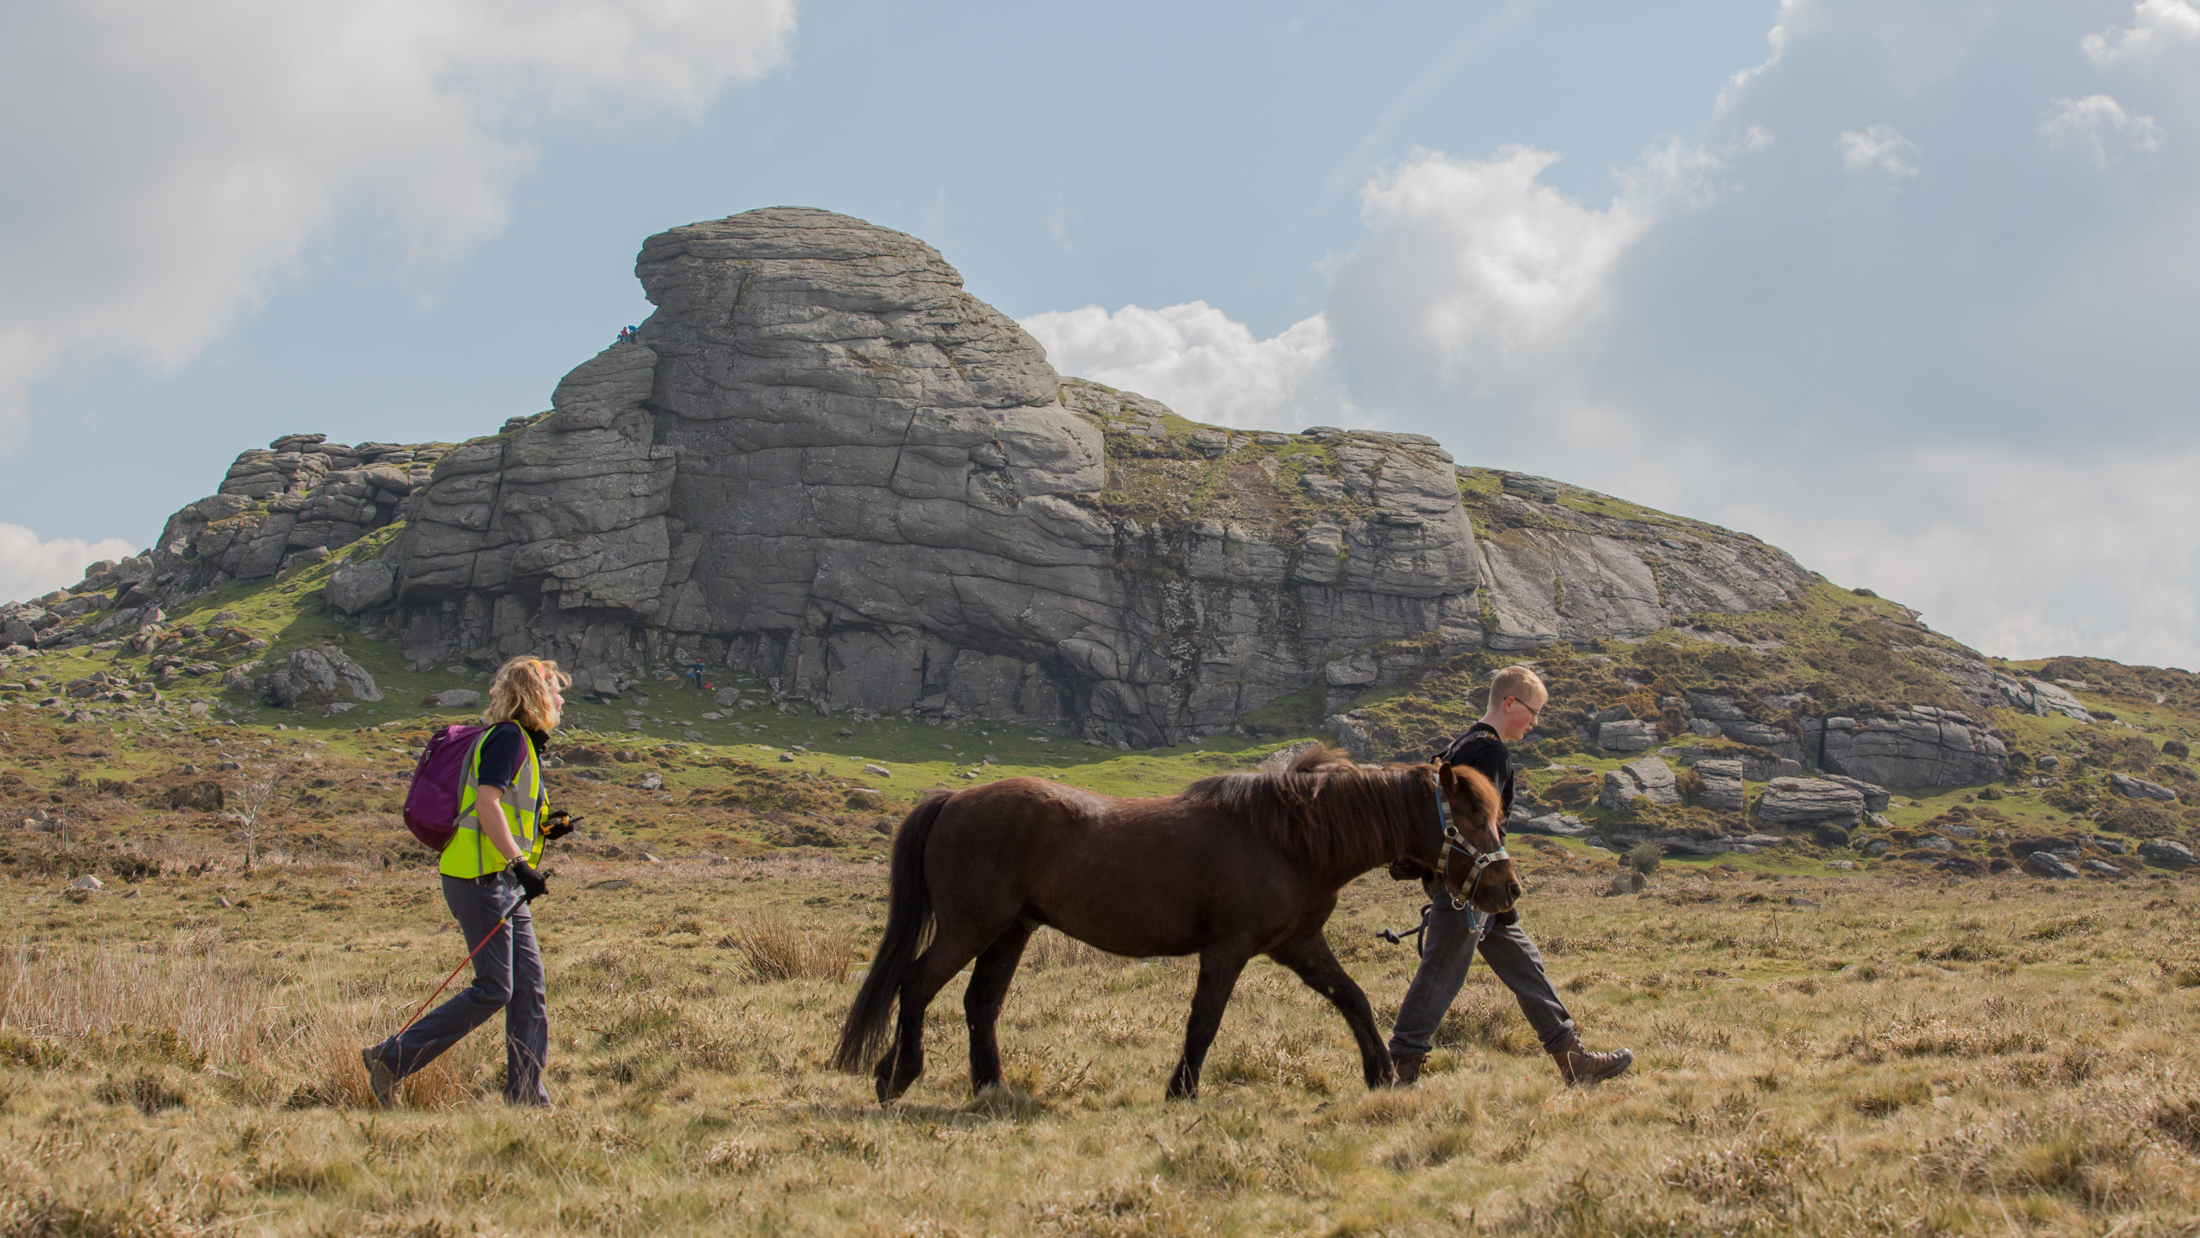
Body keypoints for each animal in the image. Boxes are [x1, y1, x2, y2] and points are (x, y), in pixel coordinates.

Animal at [833, 745, 1521, 1102]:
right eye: (1470, 818)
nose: (1508, 891)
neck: (1288, 839)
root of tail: (951, 800)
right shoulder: (1229, 949)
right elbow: (1205, 1022)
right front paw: (1182, 1090)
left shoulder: (1298, 944)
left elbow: (1351, 998)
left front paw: (1380, 1074)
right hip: (970, 928)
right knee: (917, 985)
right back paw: (898, 1077)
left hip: (1010, 931)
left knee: (979, 1003)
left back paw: (990, 1089)